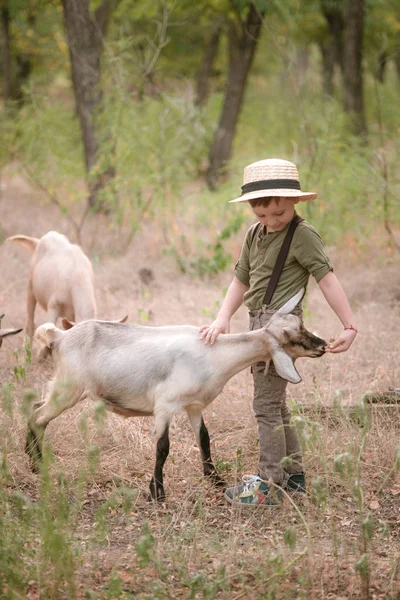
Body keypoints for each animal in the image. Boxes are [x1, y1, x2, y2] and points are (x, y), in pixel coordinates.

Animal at [29, 290, 326, 502]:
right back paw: (36, 464)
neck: (214, 354)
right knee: (38, 416)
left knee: (35, 407)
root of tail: (60, 336)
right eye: (292, 337)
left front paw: (215, 479)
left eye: (301, 325)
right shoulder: (165, 405)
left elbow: (204, 439)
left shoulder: (194, 406)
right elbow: (163, 447)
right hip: (69, 389)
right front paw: (157, 492)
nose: (322, 345)